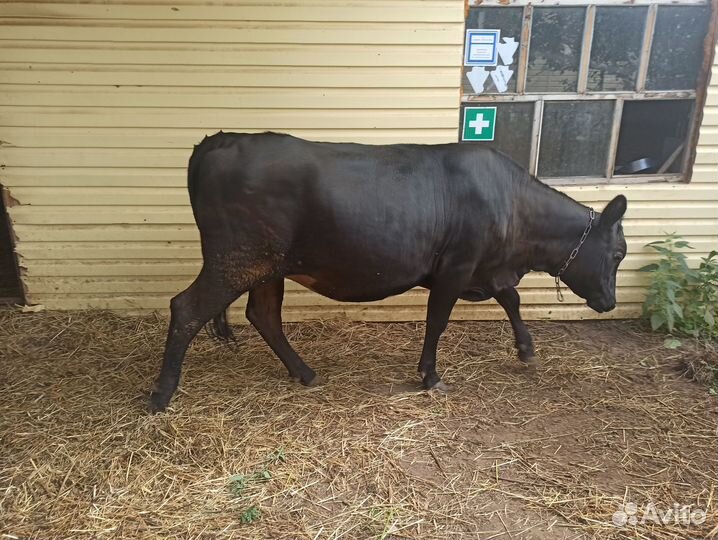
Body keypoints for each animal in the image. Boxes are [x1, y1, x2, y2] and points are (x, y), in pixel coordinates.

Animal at [150, 132, 627, 412]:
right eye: (619, 252)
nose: (609, 302)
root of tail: (221, 139)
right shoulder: (457, 266)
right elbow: (437, 321)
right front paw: (431, 376)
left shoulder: (487, 268)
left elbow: (511, 297)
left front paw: (526, 350)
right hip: (237, 258)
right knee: (186, 308)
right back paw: (160, 395)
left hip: (268, 265)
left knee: (263, 315)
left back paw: (305, 373)